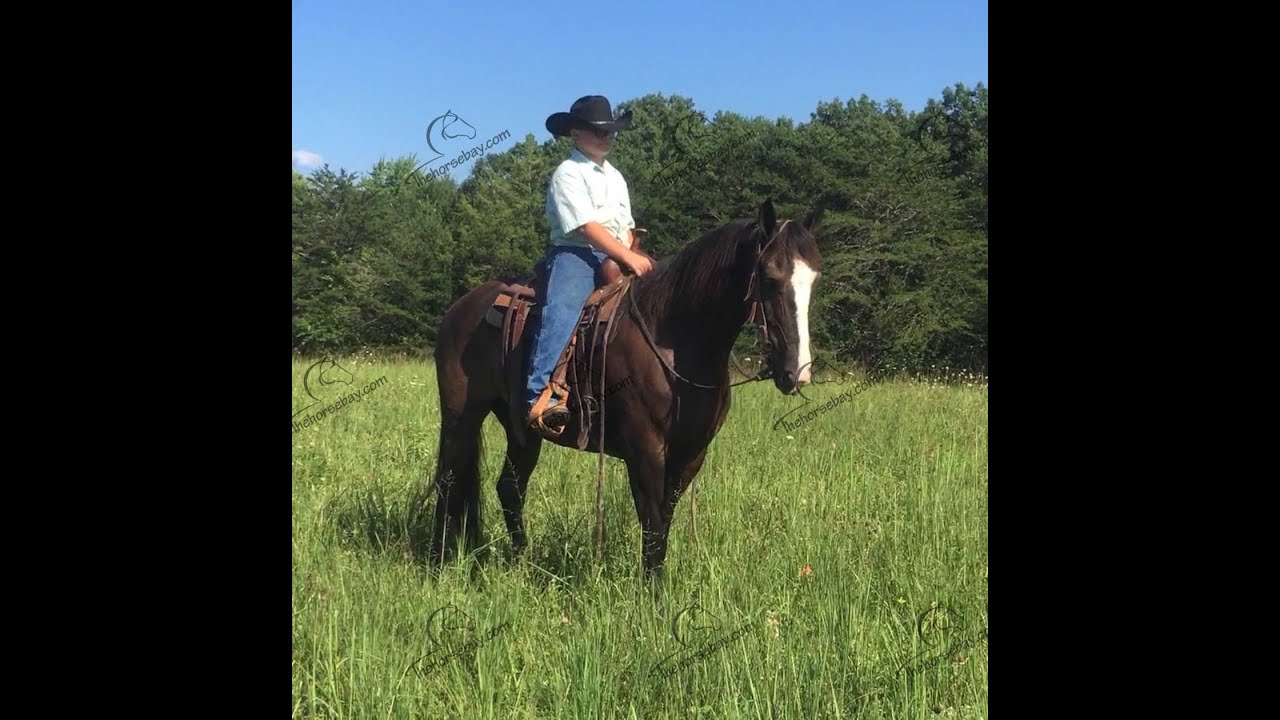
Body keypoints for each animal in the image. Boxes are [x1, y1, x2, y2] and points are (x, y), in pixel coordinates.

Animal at [427, 198, 823, 589]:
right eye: (770, 276)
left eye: (814, 278)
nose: (797, 372)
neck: (675, 338)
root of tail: (460, 308)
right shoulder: (644, 451)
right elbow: (652, 525)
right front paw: (654, 598)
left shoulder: (690, 455)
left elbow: (664, 520)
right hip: (461, 417)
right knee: (448, 484)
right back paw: (439, 564)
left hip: (521, 429)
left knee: (509, 488)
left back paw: (521, 563)